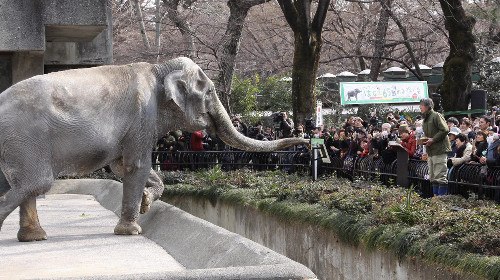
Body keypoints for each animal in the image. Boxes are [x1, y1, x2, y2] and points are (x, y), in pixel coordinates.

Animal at [0, 56, 308, 241]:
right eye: (209, 92)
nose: (305, 141)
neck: (159, 68)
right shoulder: (142, 114)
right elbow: (136, 165)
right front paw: (131, 231)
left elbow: (121, 165)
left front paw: (147, 201)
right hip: (26, 137)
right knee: (37, 183)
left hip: (18, 144)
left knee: (24, 184)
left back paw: (34, 237)